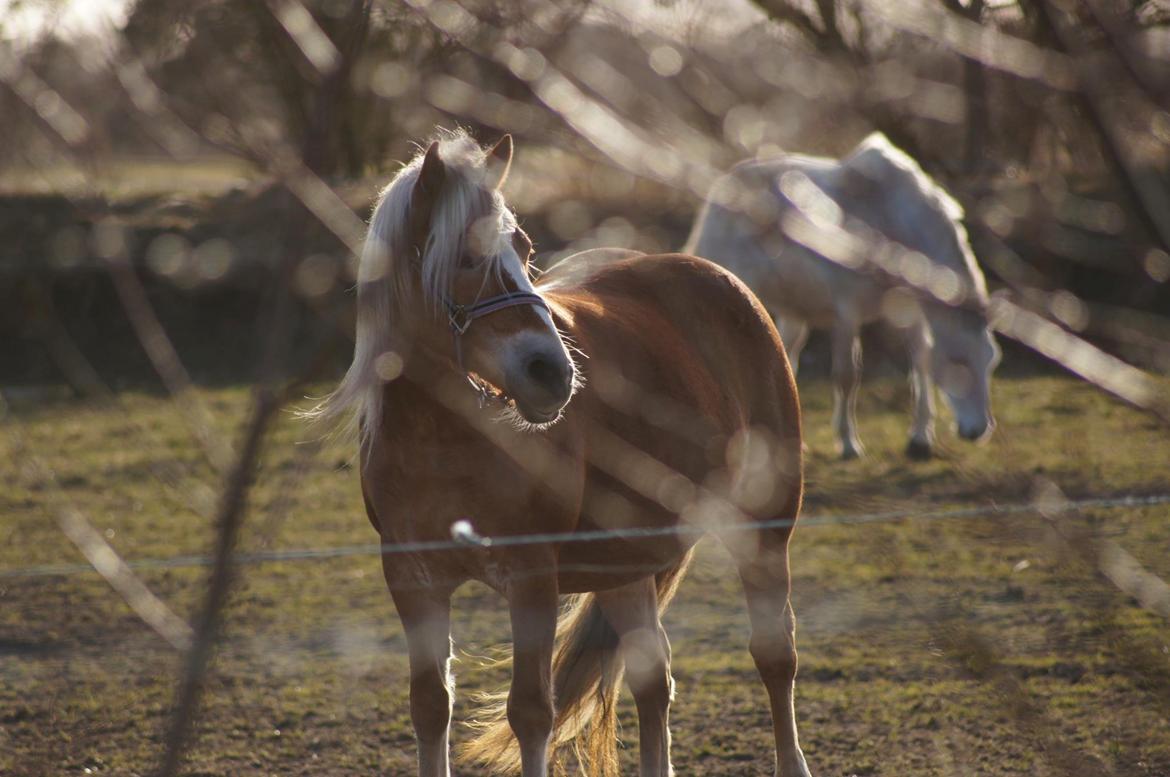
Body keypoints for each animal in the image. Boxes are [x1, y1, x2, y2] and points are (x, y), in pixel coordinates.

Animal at [306, 130, 809, 772]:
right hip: (625, 564)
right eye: (464, 258)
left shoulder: (531, 577)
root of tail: (722, 279)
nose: (553, 372)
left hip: (765, 530)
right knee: (652, 679)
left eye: (522, 248)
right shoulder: (412, 580)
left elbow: (530, 713)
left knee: (774, 657)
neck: (443, 442)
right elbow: (430, 706)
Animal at [687, 133, 1001, 458]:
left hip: (791, 310)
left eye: (992, 361)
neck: (888, 218)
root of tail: (720, 189)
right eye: (958, 364)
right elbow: (847, 376)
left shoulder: (909, 311)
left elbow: (920, 362)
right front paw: (849, 443)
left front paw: (920, 438)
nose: (977, 430)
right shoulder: (847, 312)